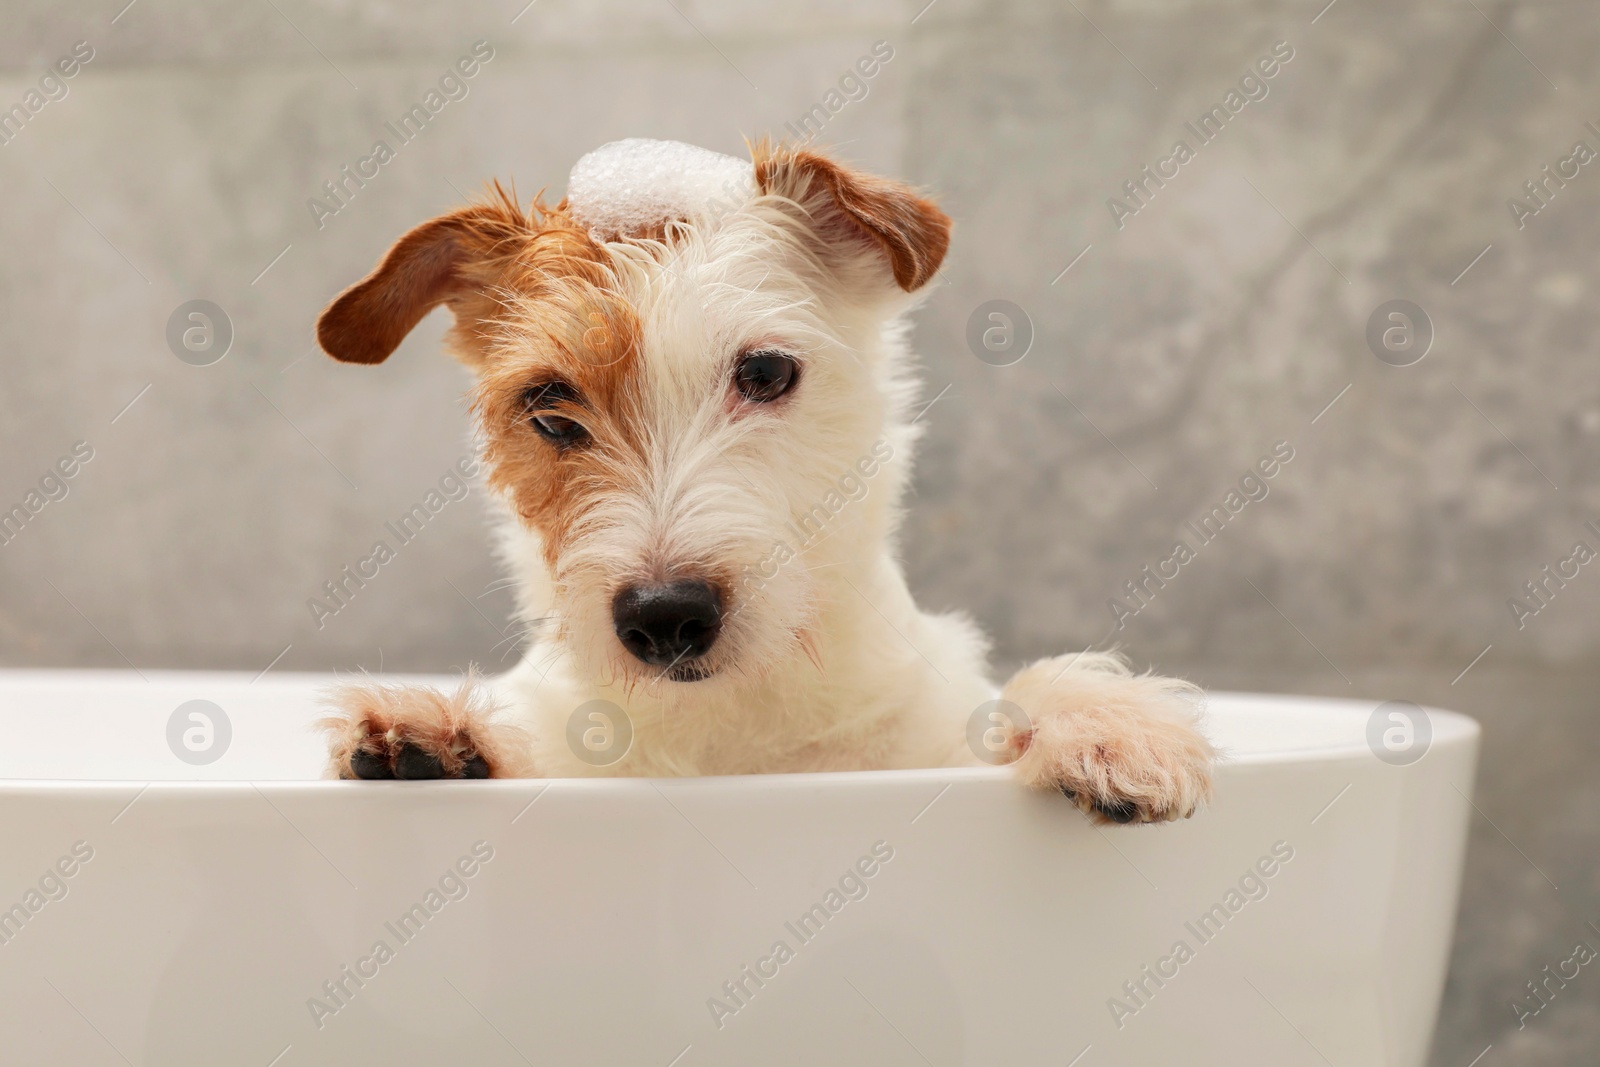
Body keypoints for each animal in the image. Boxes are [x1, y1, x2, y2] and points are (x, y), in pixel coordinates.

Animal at [312, 139, 1209, 825]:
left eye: (767, 372)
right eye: (549, 408)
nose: (665, 617)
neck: (730, 725)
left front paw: (1103, 724)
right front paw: (445, 737)